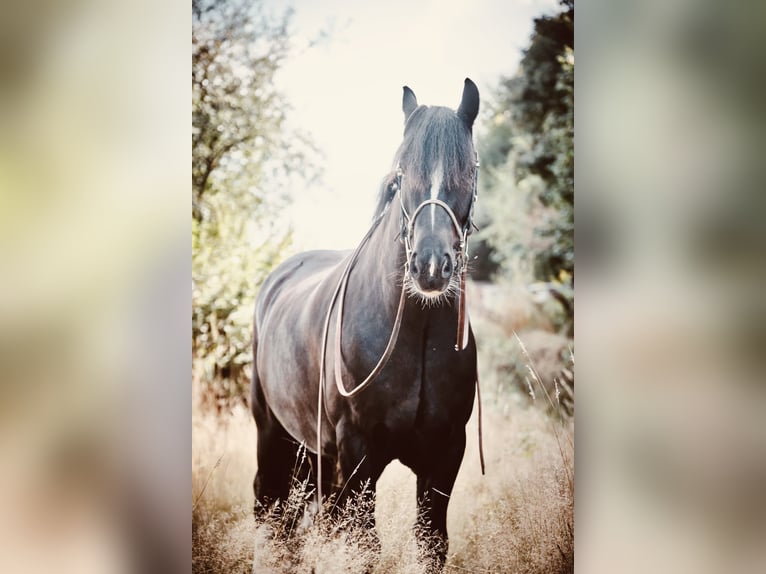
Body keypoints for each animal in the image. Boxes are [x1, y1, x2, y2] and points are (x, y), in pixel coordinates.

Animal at [250, 77, 480, 572]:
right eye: (401, 175)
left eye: (468, 174)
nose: (430, 267)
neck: (414, 337)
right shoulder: (357, 455)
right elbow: (364, 547)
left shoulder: (445, 454)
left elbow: (432, 543)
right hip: (272, 431)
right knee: (268, 504)